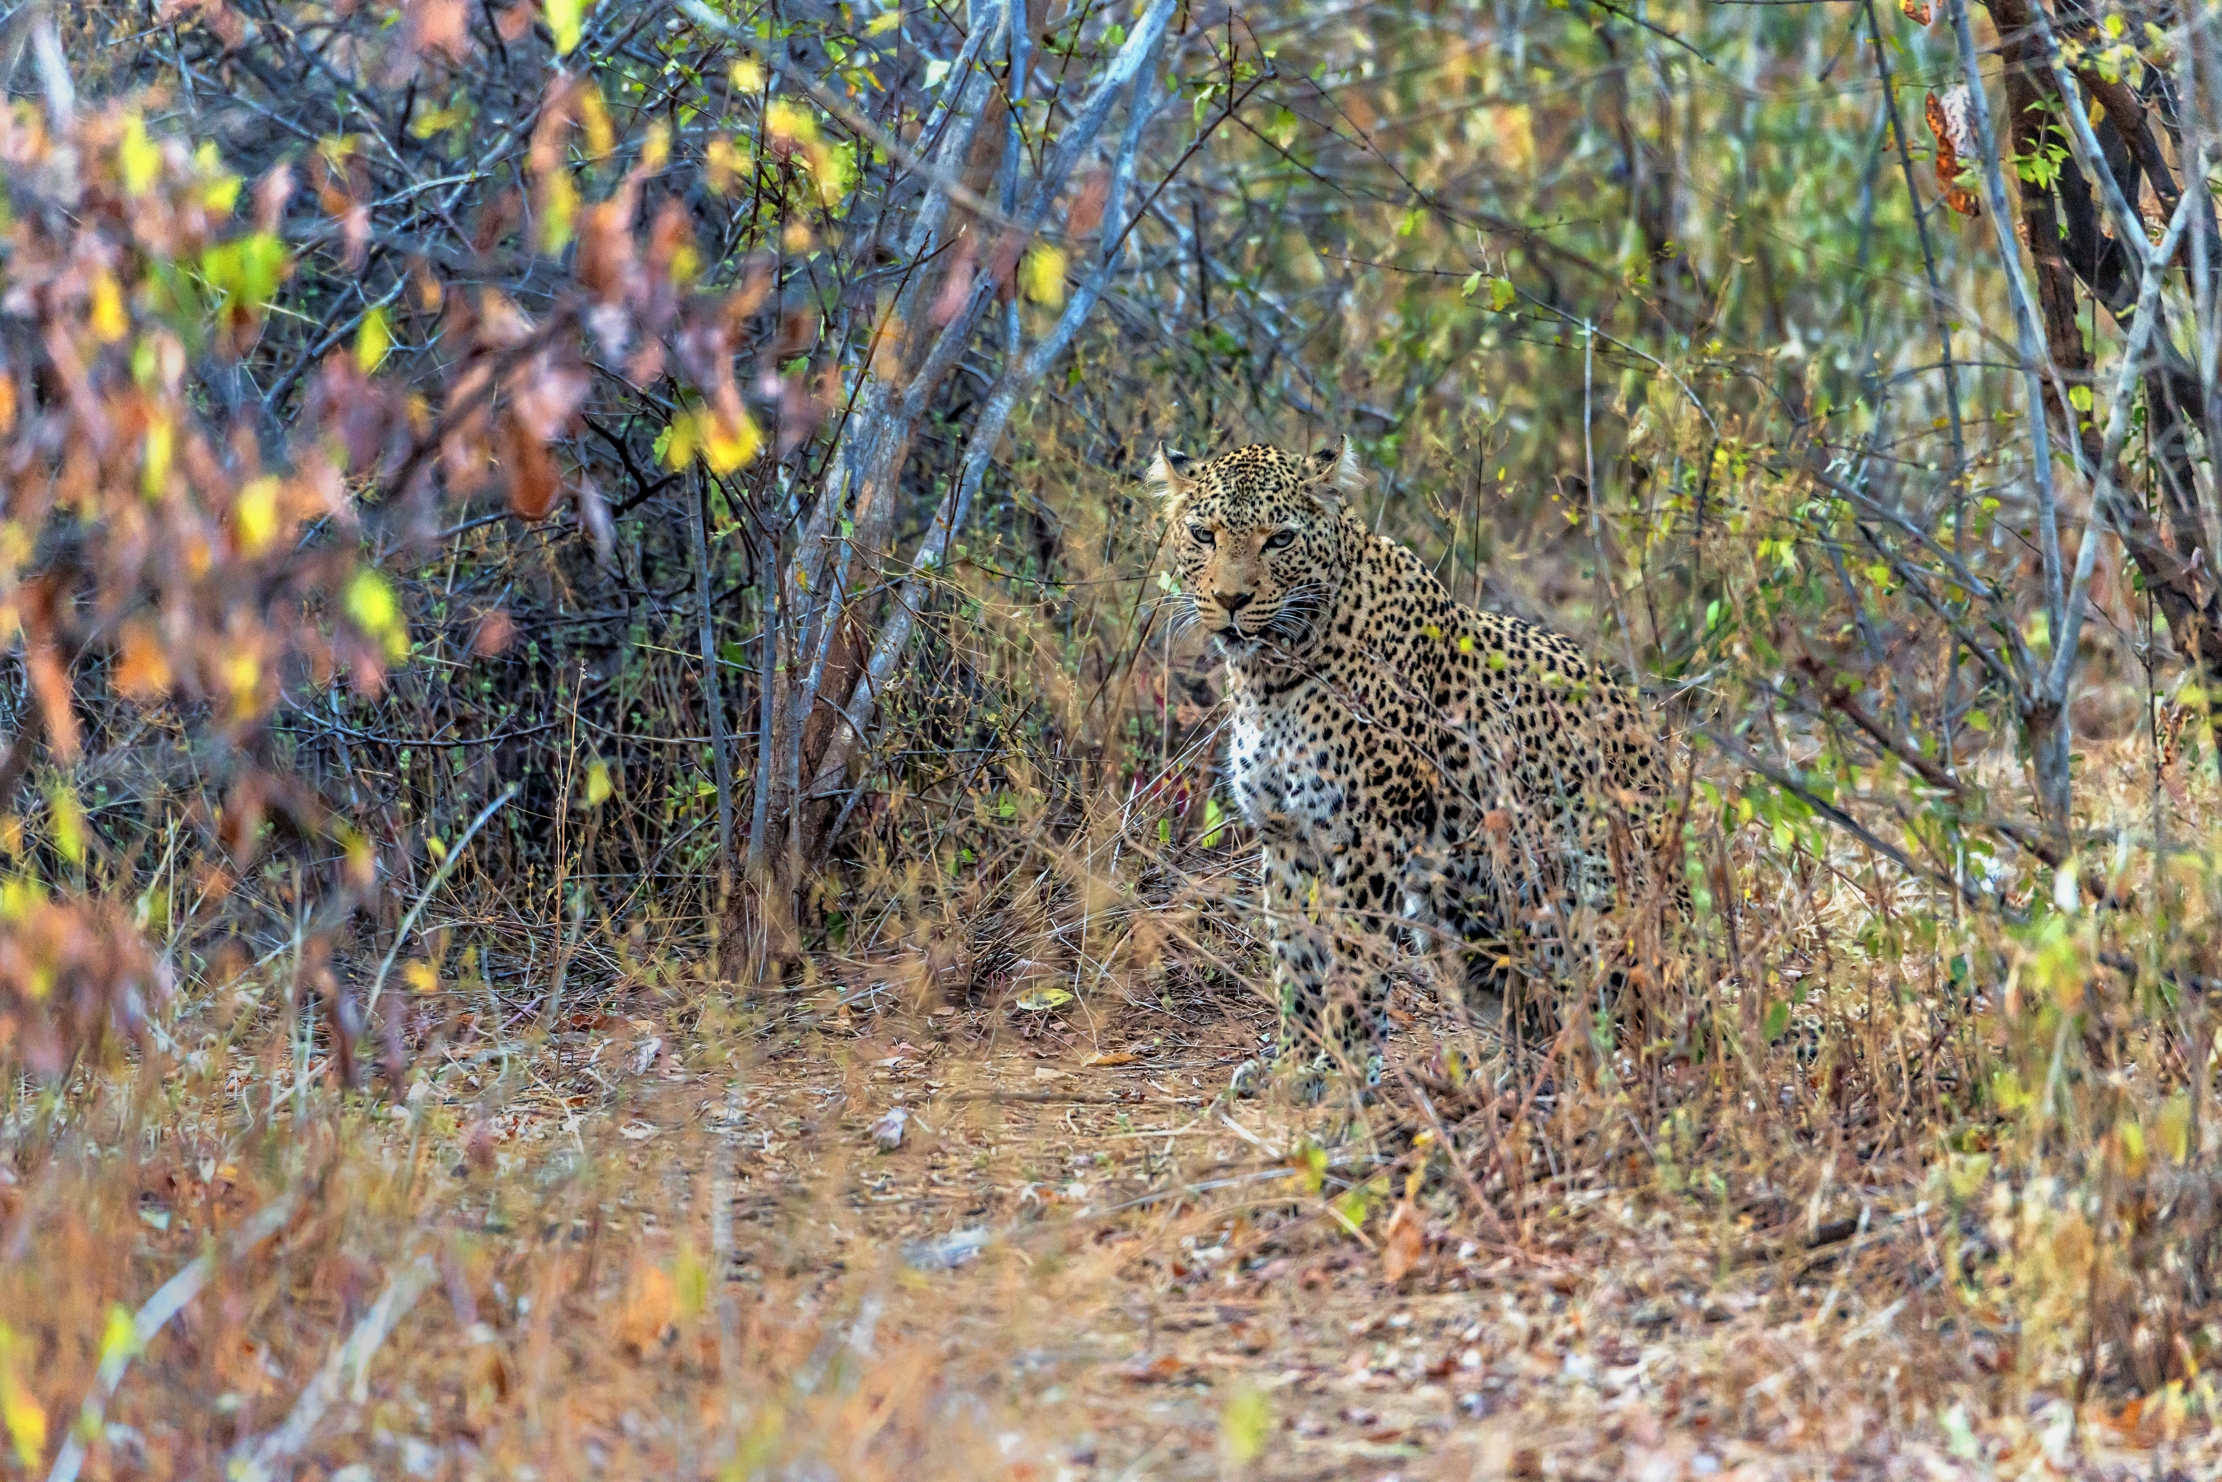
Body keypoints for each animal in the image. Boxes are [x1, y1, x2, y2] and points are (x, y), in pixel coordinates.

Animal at [1149, 436, 1684, 1094]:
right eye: (1204, 534)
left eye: (1280, 540)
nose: (1231, 601)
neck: (1269, 677)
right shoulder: (1286, 836)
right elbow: (1296, 958)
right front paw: (1293, 1064)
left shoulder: (1373, 832)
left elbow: (1356, 960)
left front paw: (1341, 1070)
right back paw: (1498, 1077)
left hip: (1586, 895)